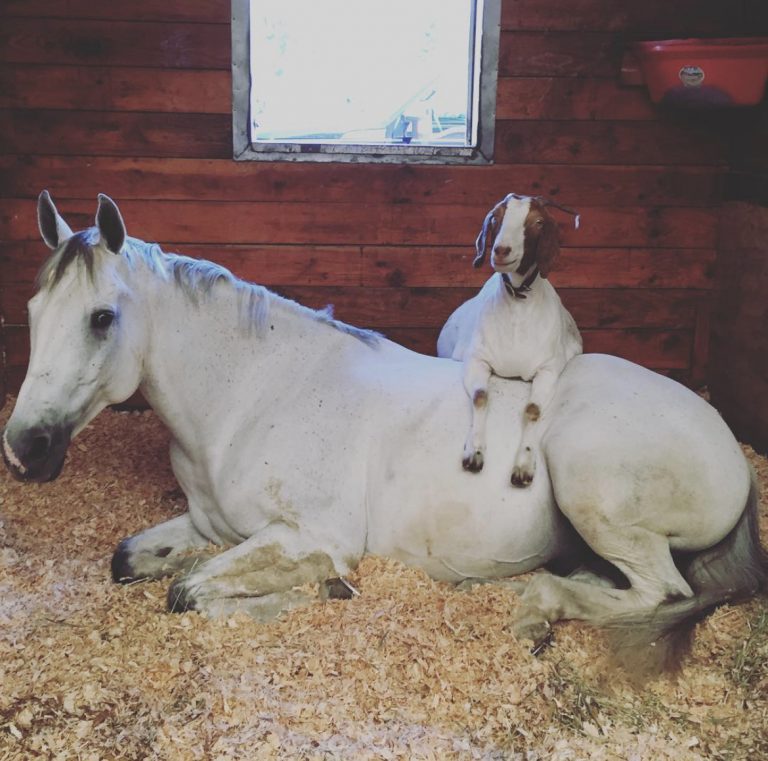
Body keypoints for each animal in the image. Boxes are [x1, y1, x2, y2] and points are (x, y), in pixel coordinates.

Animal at [437, 194, 582, 487]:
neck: (517, 304)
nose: (501, 250)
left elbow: (533, 409)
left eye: (537, 222)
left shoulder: (549, 370)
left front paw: (524, 466)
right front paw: (474, 452)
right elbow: (480, 396)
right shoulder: (476, 360)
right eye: (496, 217)